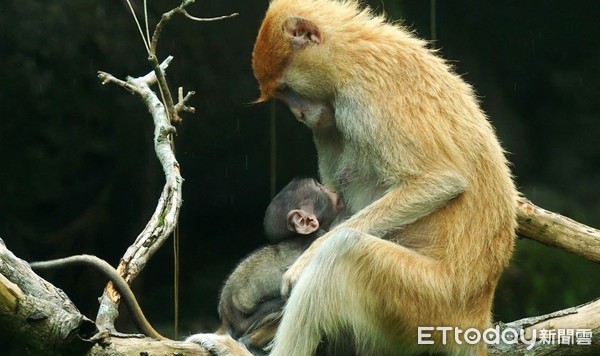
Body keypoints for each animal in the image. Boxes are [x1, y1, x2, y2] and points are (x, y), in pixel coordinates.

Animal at [251, 0, 516, 356]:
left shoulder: (365, 98)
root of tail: (476, 310)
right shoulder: (329, 120)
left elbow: (440, 181)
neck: (350, 54)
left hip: (428, 301)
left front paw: (303, 261)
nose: (299, 114)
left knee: (343, 250)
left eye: (285, 89)